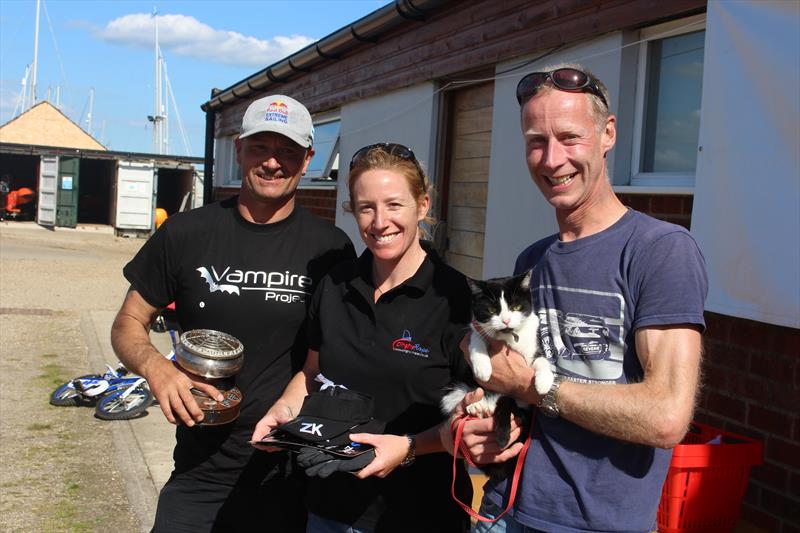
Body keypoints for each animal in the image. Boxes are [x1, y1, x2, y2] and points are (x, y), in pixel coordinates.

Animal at [440, 272, 552, 446]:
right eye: (492, 309)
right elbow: (477, 338)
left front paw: (544, 383)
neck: (508, 338)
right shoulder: (475, 329)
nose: (506, 321)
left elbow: (541, 360)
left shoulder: (534, 343)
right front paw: (483, 369)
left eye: (516, 307)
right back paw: (478, 406)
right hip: (454, 389)